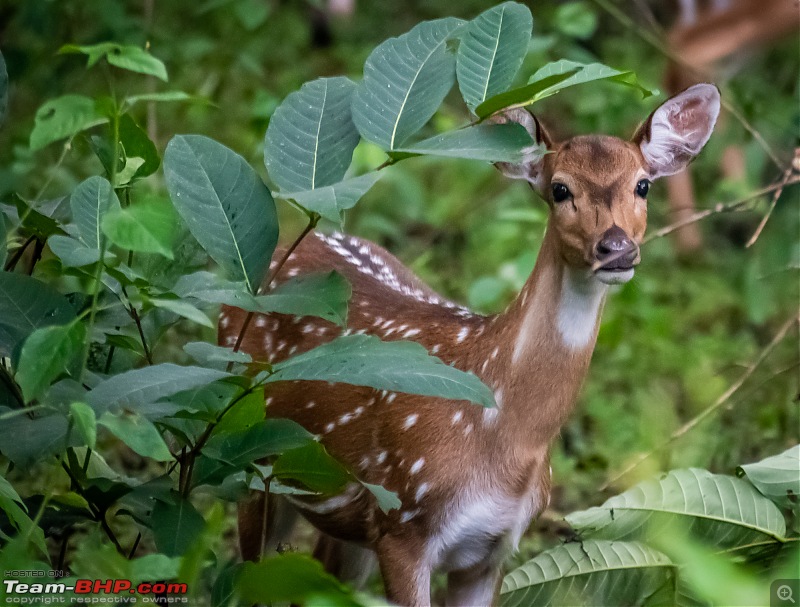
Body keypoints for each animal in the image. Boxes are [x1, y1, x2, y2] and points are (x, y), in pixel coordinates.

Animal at [220, 84, 724, 607]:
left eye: (643, 185)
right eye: (560, 189)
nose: (617, 248)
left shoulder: (493, 548)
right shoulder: (404, 526)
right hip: (246, 453)